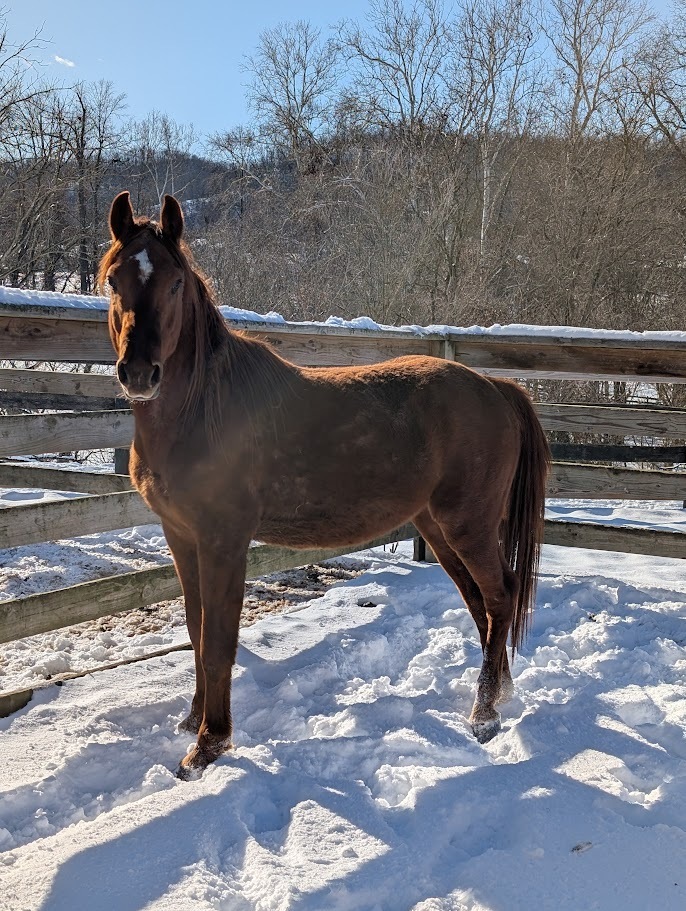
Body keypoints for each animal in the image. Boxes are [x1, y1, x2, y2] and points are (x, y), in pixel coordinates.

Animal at [100, 191, 551, 779]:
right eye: (114, 280)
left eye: (175, 283)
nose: (139, 373)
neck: (204, 410)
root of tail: (494, 386)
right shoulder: (181, 538)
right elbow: (196, 633)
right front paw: (193, 720)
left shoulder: (224, 542)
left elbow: (218, 642)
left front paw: (208, 745)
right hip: (438, 527)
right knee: (482, 603)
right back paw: (498, 693)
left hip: (467, 525)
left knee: (499, 598)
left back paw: (484, 715)